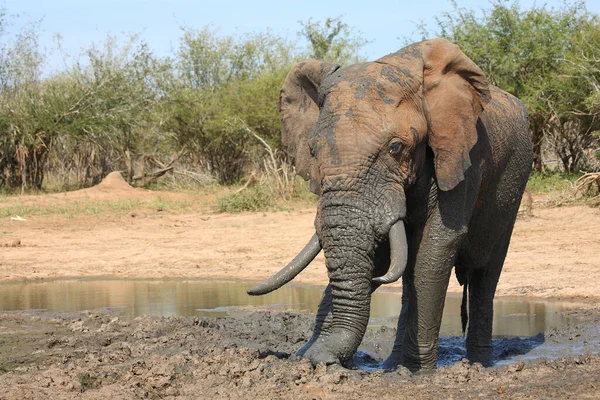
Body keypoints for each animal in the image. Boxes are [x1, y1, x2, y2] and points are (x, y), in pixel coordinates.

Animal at [246, 38, 532, 372]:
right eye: (313, 151)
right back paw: (396, 363)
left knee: (485, 275)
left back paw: (477, 365)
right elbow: (383, 255)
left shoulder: (465, 154)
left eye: (396, 148)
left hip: (515, 180)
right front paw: (316, 356)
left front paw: (416, 375)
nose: (315, 359)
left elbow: (436, 245)